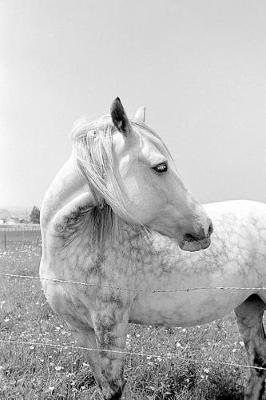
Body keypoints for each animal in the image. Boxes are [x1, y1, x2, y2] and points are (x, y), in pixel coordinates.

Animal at [40, 97, 266, 400]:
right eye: (160, 166)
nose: (206, 226)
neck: (68, 249)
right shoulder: (80, 329)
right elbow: (102, 384)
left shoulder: (111, 324)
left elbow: (113, 388)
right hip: (249, 306)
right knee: (257, 365)